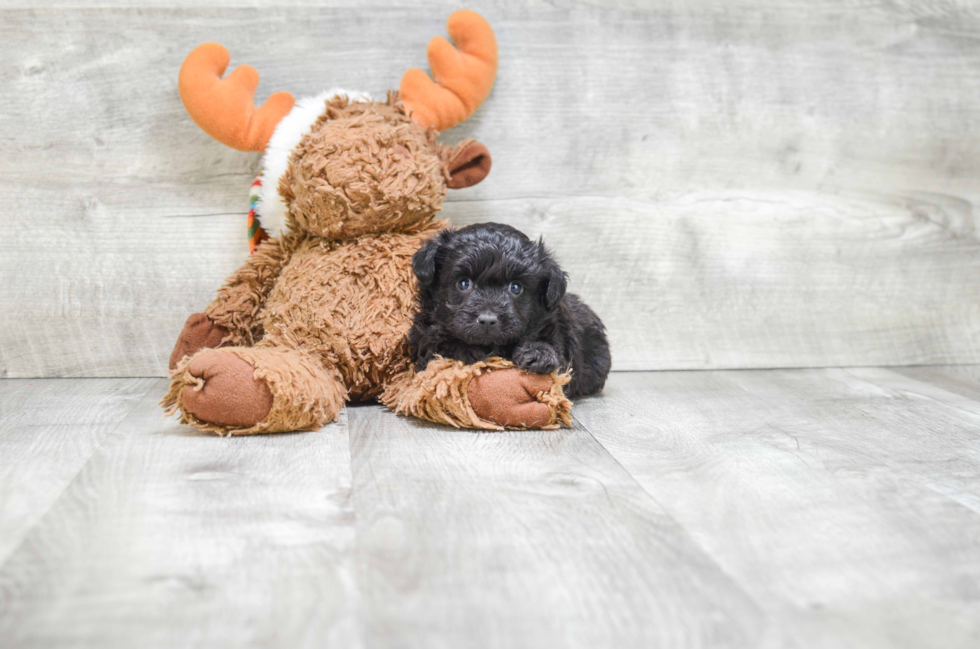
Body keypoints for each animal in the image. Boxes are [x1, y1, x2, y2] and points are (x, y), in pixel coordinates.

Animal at [408, 223, 608, 398]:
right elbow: (441, 344)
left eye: (515, 287)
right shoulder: (425, 337)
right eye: (463, 283)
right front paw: (470, 352)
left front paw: (539, 354)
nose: (488, 320)